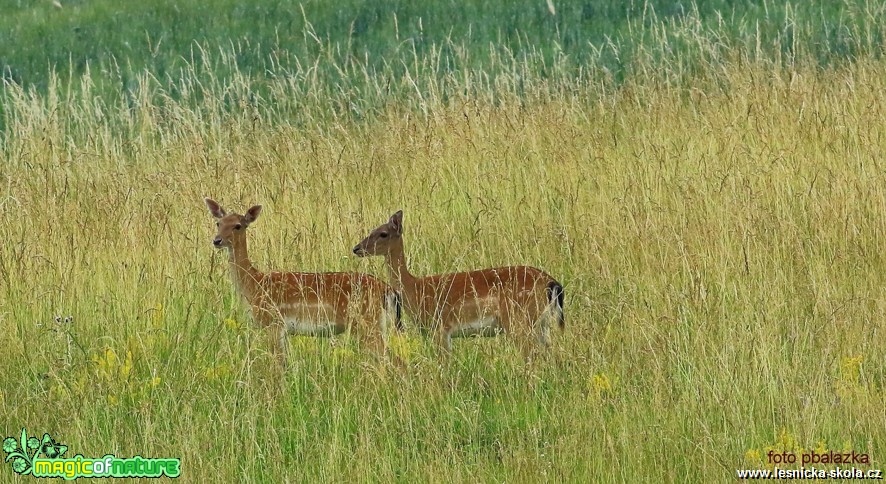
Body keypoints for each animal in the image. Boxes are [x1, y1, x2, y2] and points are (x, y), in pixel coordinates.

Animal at [205, 197, 402, 366]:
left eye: (238, 226)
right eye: (218, 223)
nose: (217, 240)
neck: (254, 284)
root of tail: (388, 290)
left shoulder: (274, 322)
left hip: (367, 322)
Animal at [352, 211, 564, 360]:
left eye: (383, 233)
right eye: (370, 230)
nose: (356, 248)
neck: (415, 289)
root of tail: (551, 282)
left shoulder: (440, 328)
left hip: (518, 321)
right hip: (541, 323)